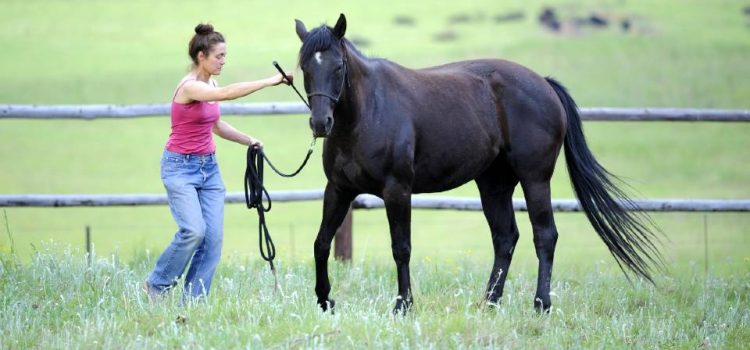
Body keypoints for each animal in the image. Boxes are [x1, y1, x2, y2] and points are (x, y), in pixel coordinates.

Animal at [296, 13, 660, 314]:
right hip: (493, 184)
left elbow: (401, 248)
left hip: (535, 179)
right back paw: (489, 302)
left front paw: (403, 305)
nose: (320, 123)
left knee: (544, 235)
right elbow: (321, 242)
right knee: (505, 238)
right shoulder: (339, 189)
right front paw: (324, 300)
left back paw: (541, 304)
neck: (368, 112)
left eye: (338, 67)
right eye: (305, 68)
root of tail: (544, 84)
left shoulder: (397, 190)